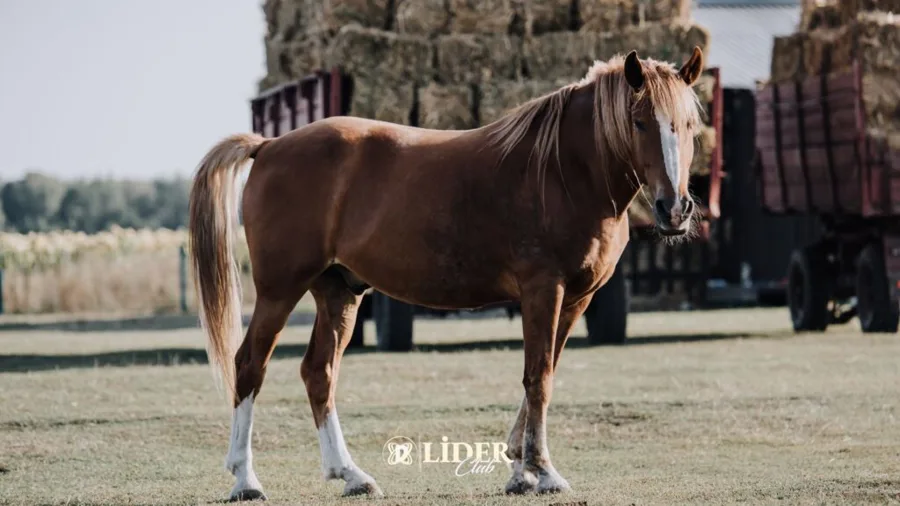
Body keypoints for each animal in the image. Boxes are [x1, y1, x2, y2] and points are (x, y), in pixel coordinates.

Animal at [188, 47, 705, 500]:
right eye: (639, 122)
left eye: (689, 125)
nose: (675, 209)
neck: (563, 171)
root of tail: (270, 145)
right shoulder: (544, 290)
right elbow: (538, 376)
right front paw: (543, 471)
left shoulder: (577, 297)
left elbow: (544, 372)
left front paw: (519, 468)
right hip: (280, 290)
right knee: (249, 367)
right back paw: (246, 480)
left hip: (339, 292)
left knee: (319, 372)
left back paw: (351, 475)